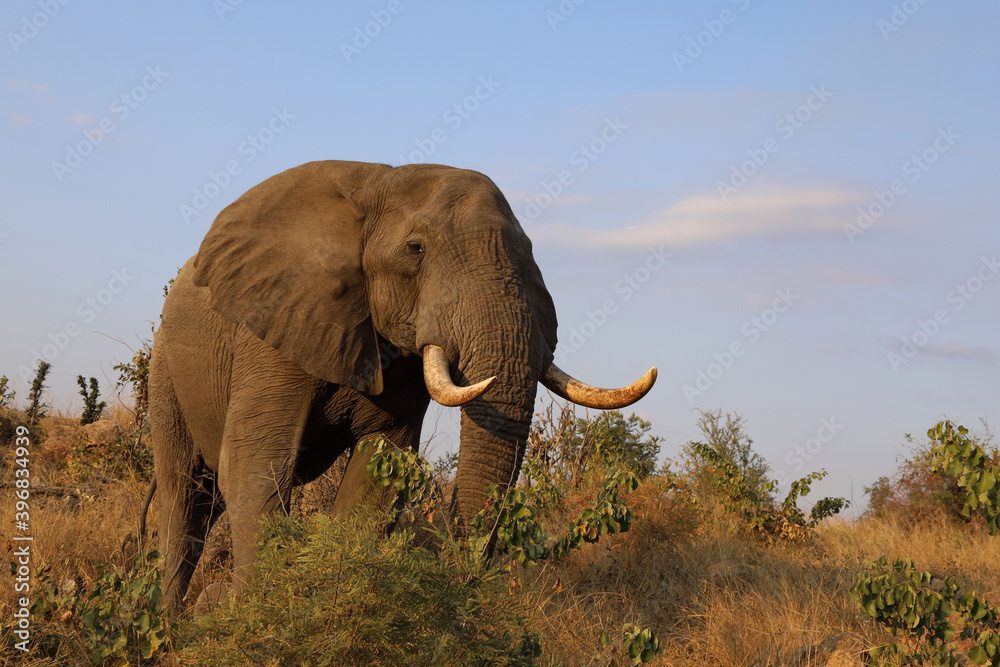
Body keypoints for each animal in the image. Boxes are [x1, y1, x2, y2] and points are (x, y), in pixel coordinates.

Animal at [147, 160, 656, 613]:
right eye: (415, 248)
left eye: (529, 254)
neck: (378, 181)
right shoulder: (272, 324)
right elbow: (255, 464)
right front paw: (246, 613)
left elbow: (375, 478)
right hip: (165, 371)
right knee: (185, 499)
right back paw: (172, 625)